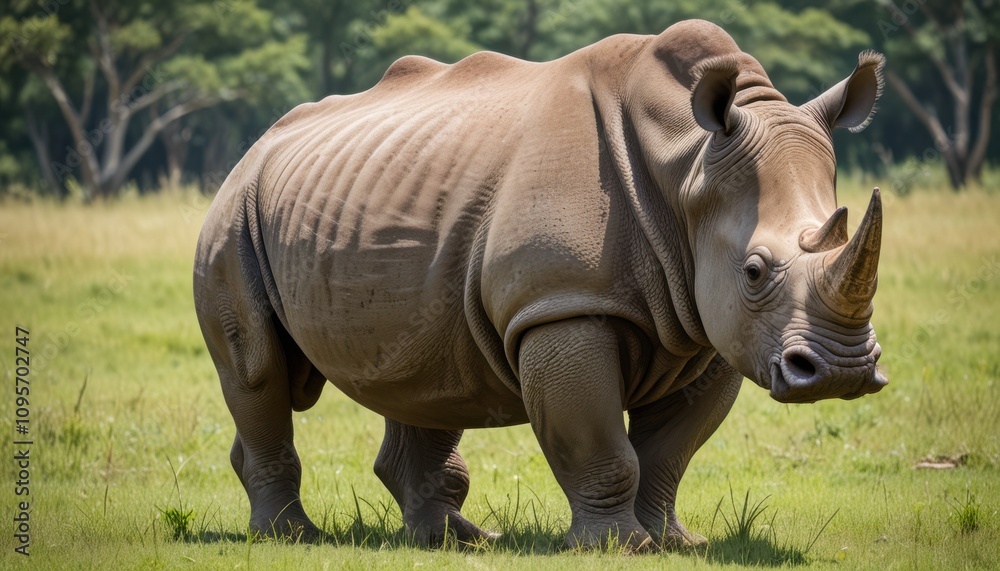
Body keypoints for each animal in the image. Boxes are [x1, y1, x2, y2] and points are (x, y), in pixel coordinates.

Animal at [194, 19, 887, 551]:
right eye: (754, 270)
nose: (841, 373)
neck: (687, 165)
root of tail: (257, 143)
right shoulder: (562, 306)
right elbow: (602, 443)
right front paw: (619, 548)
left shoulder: (712, 328)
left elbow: (669, 451)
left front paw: (675, 543)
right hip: (234, 212)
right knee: (257, 369)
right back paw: (292, 537)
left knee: (429, 366)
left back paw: (456, 539)